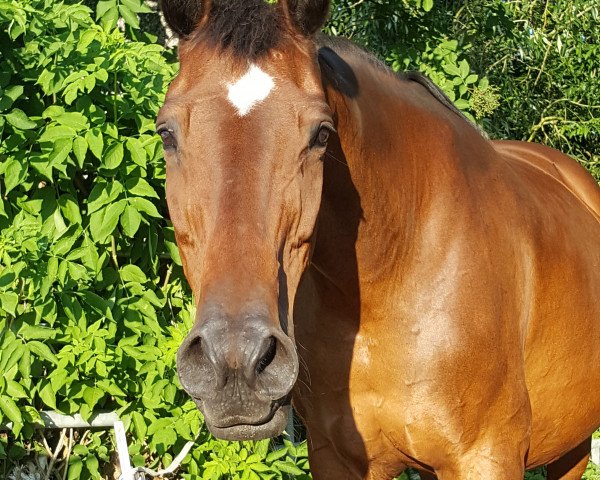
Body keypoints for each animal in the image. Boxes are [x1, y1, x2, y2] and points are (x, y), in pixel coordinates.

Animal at [155, 0, 600, 476]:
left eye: (321, 133)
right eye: (166, 132)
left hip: (571, 446)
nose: (235, 361)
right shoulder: (338, 455)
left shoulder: (486, 456)